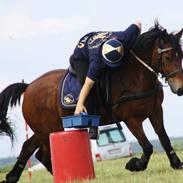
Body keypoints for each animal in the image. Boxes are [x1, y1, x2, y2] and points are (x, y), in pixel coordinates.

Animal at [0, 23, 183, 183]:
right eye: (168, 57)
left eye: (180, 55)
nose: (180, 88)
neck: (134, 77)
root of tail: (28, 86)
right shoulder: (131, 119)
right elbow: (147, 146)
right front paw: (135, 165)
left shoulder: (155, 111)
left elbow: (164, 139)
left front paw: (177, 164)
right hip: (46, 130)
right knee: (40, 153)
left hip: (46, 129)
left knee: (30, 149)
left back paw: (14, 177)